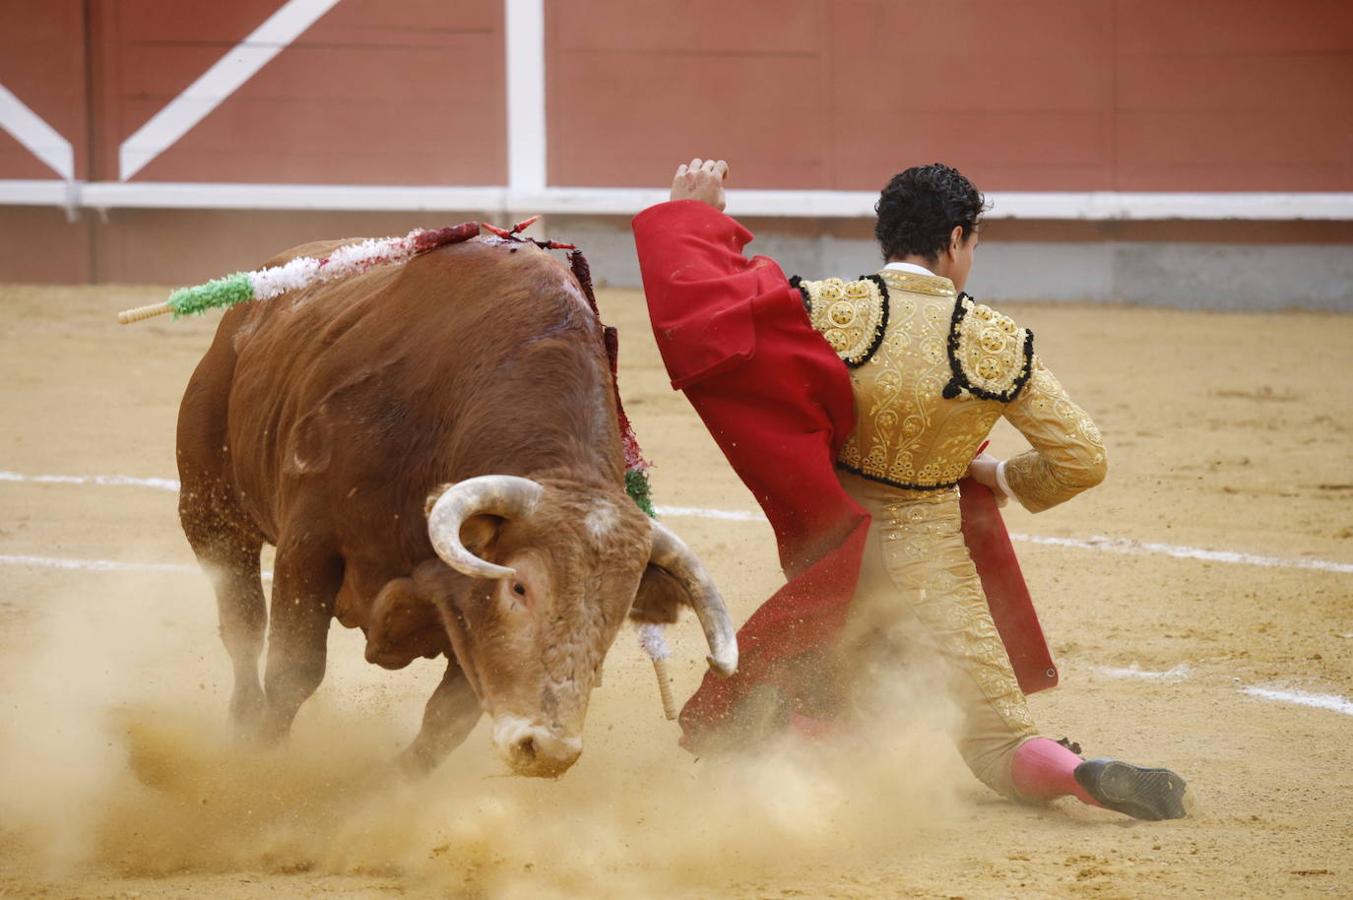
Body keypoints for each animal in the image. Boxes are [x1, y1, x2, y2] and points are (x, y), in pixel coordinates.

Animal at [177, 230, 741, 774]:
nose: (550, 750)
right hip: (209, 512)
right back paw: (241, 723)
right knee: (243, 624)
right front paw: (262, 764)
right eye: (519, 587)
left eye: (620, 612)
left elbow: (445, 722)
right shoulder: (310, 544)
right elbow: (293, 670)